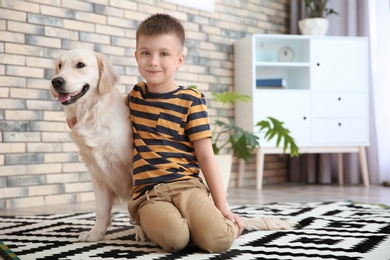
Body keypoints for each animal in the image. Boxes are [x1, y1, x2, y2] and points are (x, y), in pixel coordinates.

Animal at [50, 49, 136, 242]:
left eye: (80, 65)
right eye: (60, 66)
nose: (56, 81)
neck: (91, 113)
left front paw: (142, 233)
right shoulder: (97, 172)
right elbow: (101, 209)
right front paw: (96, 234)